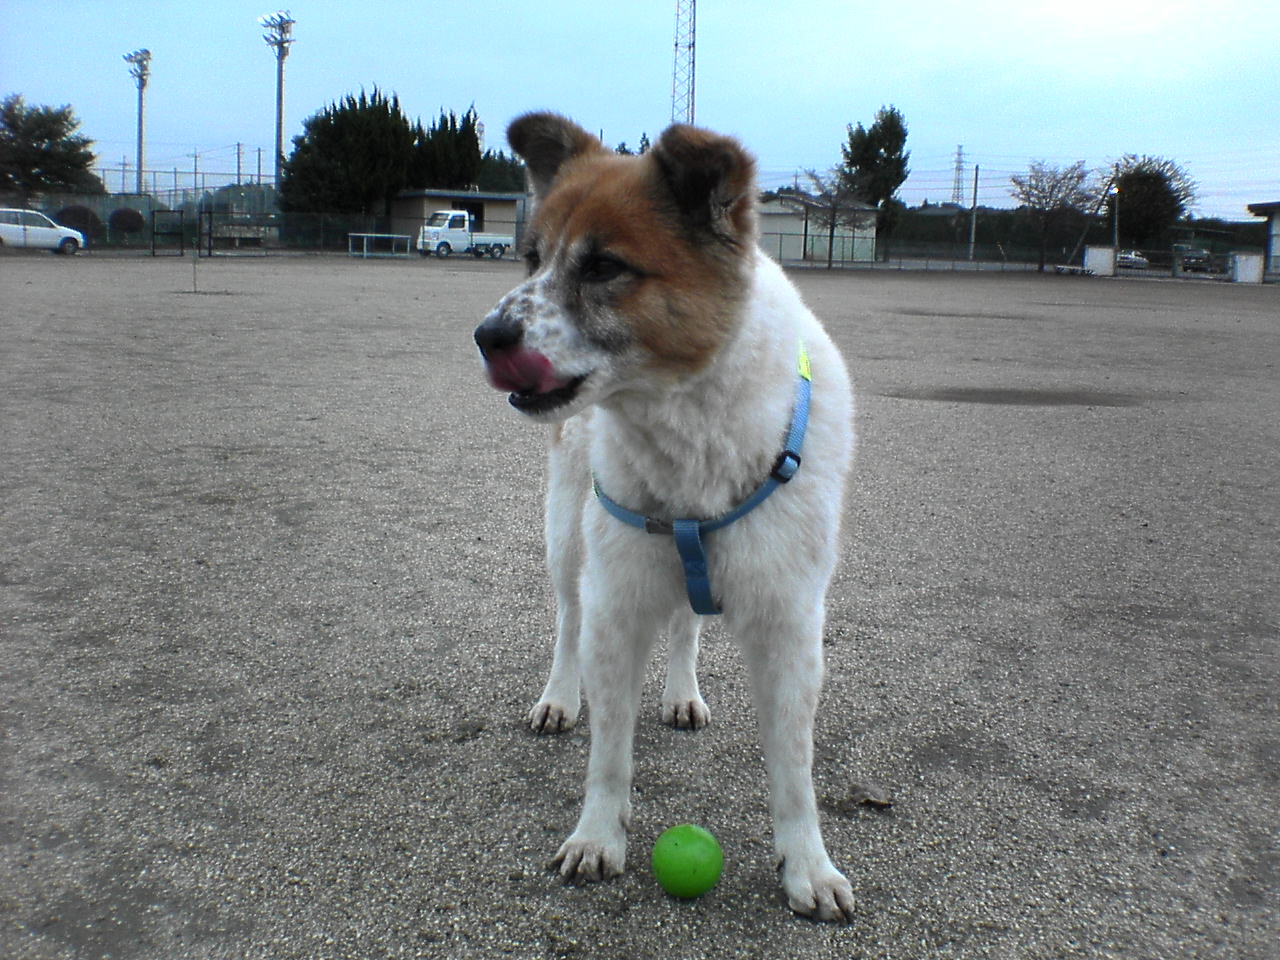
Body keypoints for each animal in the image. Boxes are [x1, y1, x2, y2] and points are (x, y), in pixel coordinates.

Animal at [476, 112, 855, 926]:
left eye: (603, 267)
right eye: (532, 258)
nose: (488, 336)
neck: (691, 436)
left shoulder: (789, 623)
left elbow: (795, 769)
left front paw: (807, 865)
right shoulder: (616, 606)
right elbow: (608, 752)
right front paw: (597, 836)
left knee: (686, 623)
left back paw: (682, 692)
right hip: (567, 541)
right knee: (566, 623)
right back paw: (559, 697)